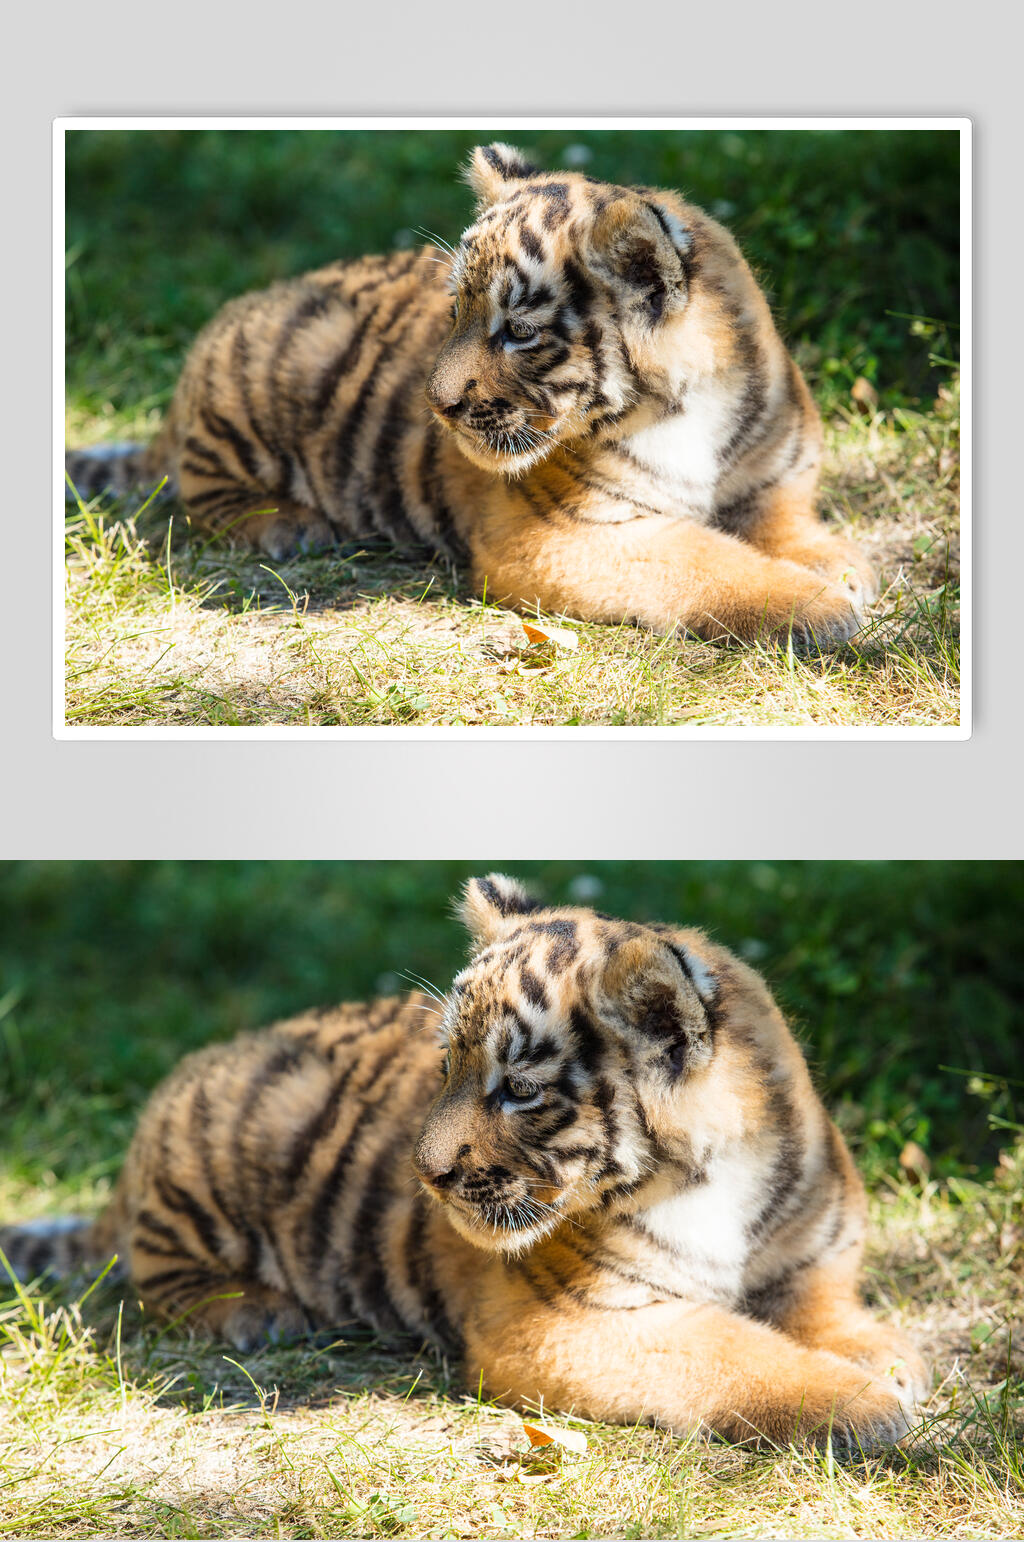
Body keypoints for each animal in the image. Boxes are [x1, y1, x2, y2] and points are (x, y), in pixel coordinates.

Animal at [1, 874, 926, 1452]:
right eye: (445, 1063)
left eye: (517, 1090)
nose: (427, 1173)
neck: (718, 1178)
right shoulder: (569, 1322)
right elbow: (732, 1355)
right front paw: (861, 1405)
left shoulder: (812, 1251)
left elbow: (822, 1305)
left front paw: (883, 1356)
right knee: (154, 1270)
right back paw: (252, 1311)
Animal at [66, 143, 878, 649]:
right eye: (454, 308)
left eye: (517, 331)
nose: (438, 405)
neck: (693, 410)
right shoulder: (561, 533)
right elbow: (708, 565)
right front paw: (819, 608)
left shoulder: (774, 474)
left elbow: (785, 521)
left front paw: (838, 565)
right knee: (200, 488)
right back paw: (286, 525)